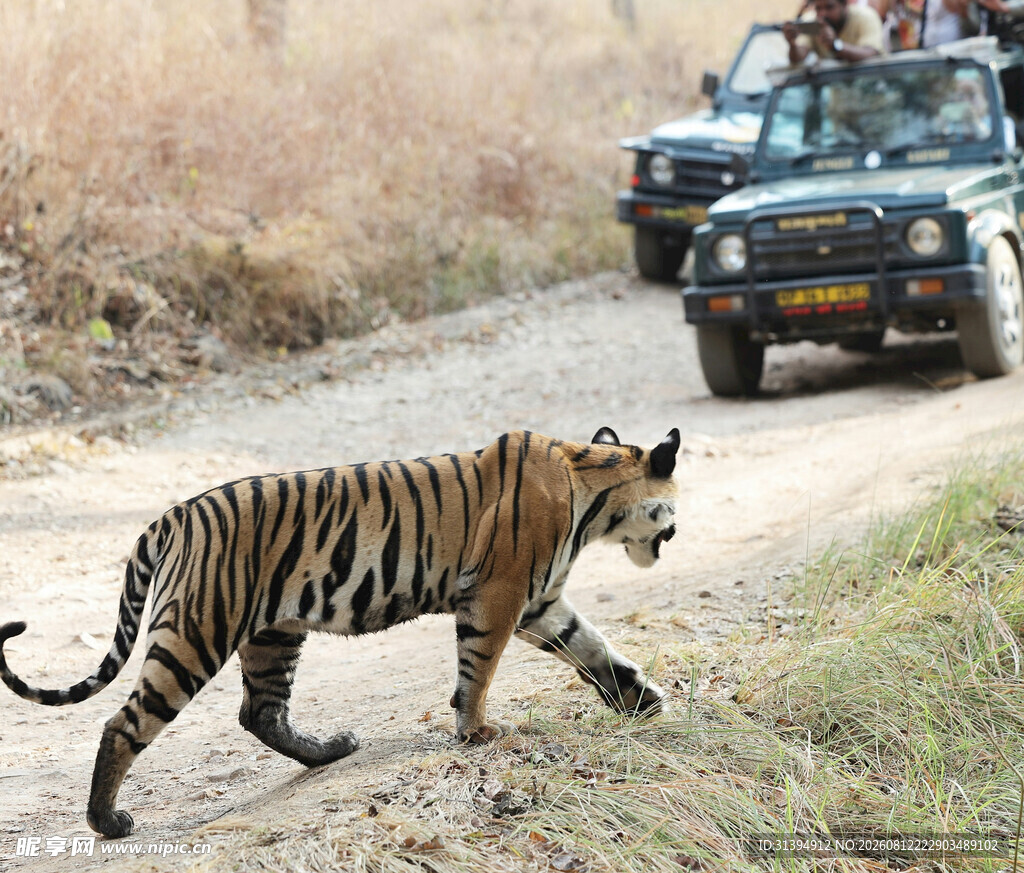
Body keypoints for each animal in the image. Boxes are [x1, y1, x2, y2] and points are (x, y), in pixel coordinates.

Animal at [0, 426, 680, 838]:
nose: (675, 534)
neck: (590, 491)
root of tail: (172, 516)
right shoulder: (500, 593)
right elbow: (479, 666)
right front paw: (477, 732)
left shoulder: (540, 601)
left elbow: (593, 648)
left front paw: (643, 702)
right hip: (197, 632)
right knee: (124, 723)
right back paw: (106, 820)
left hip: (272, 633)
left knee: (260, 713)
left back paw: (332, 750)